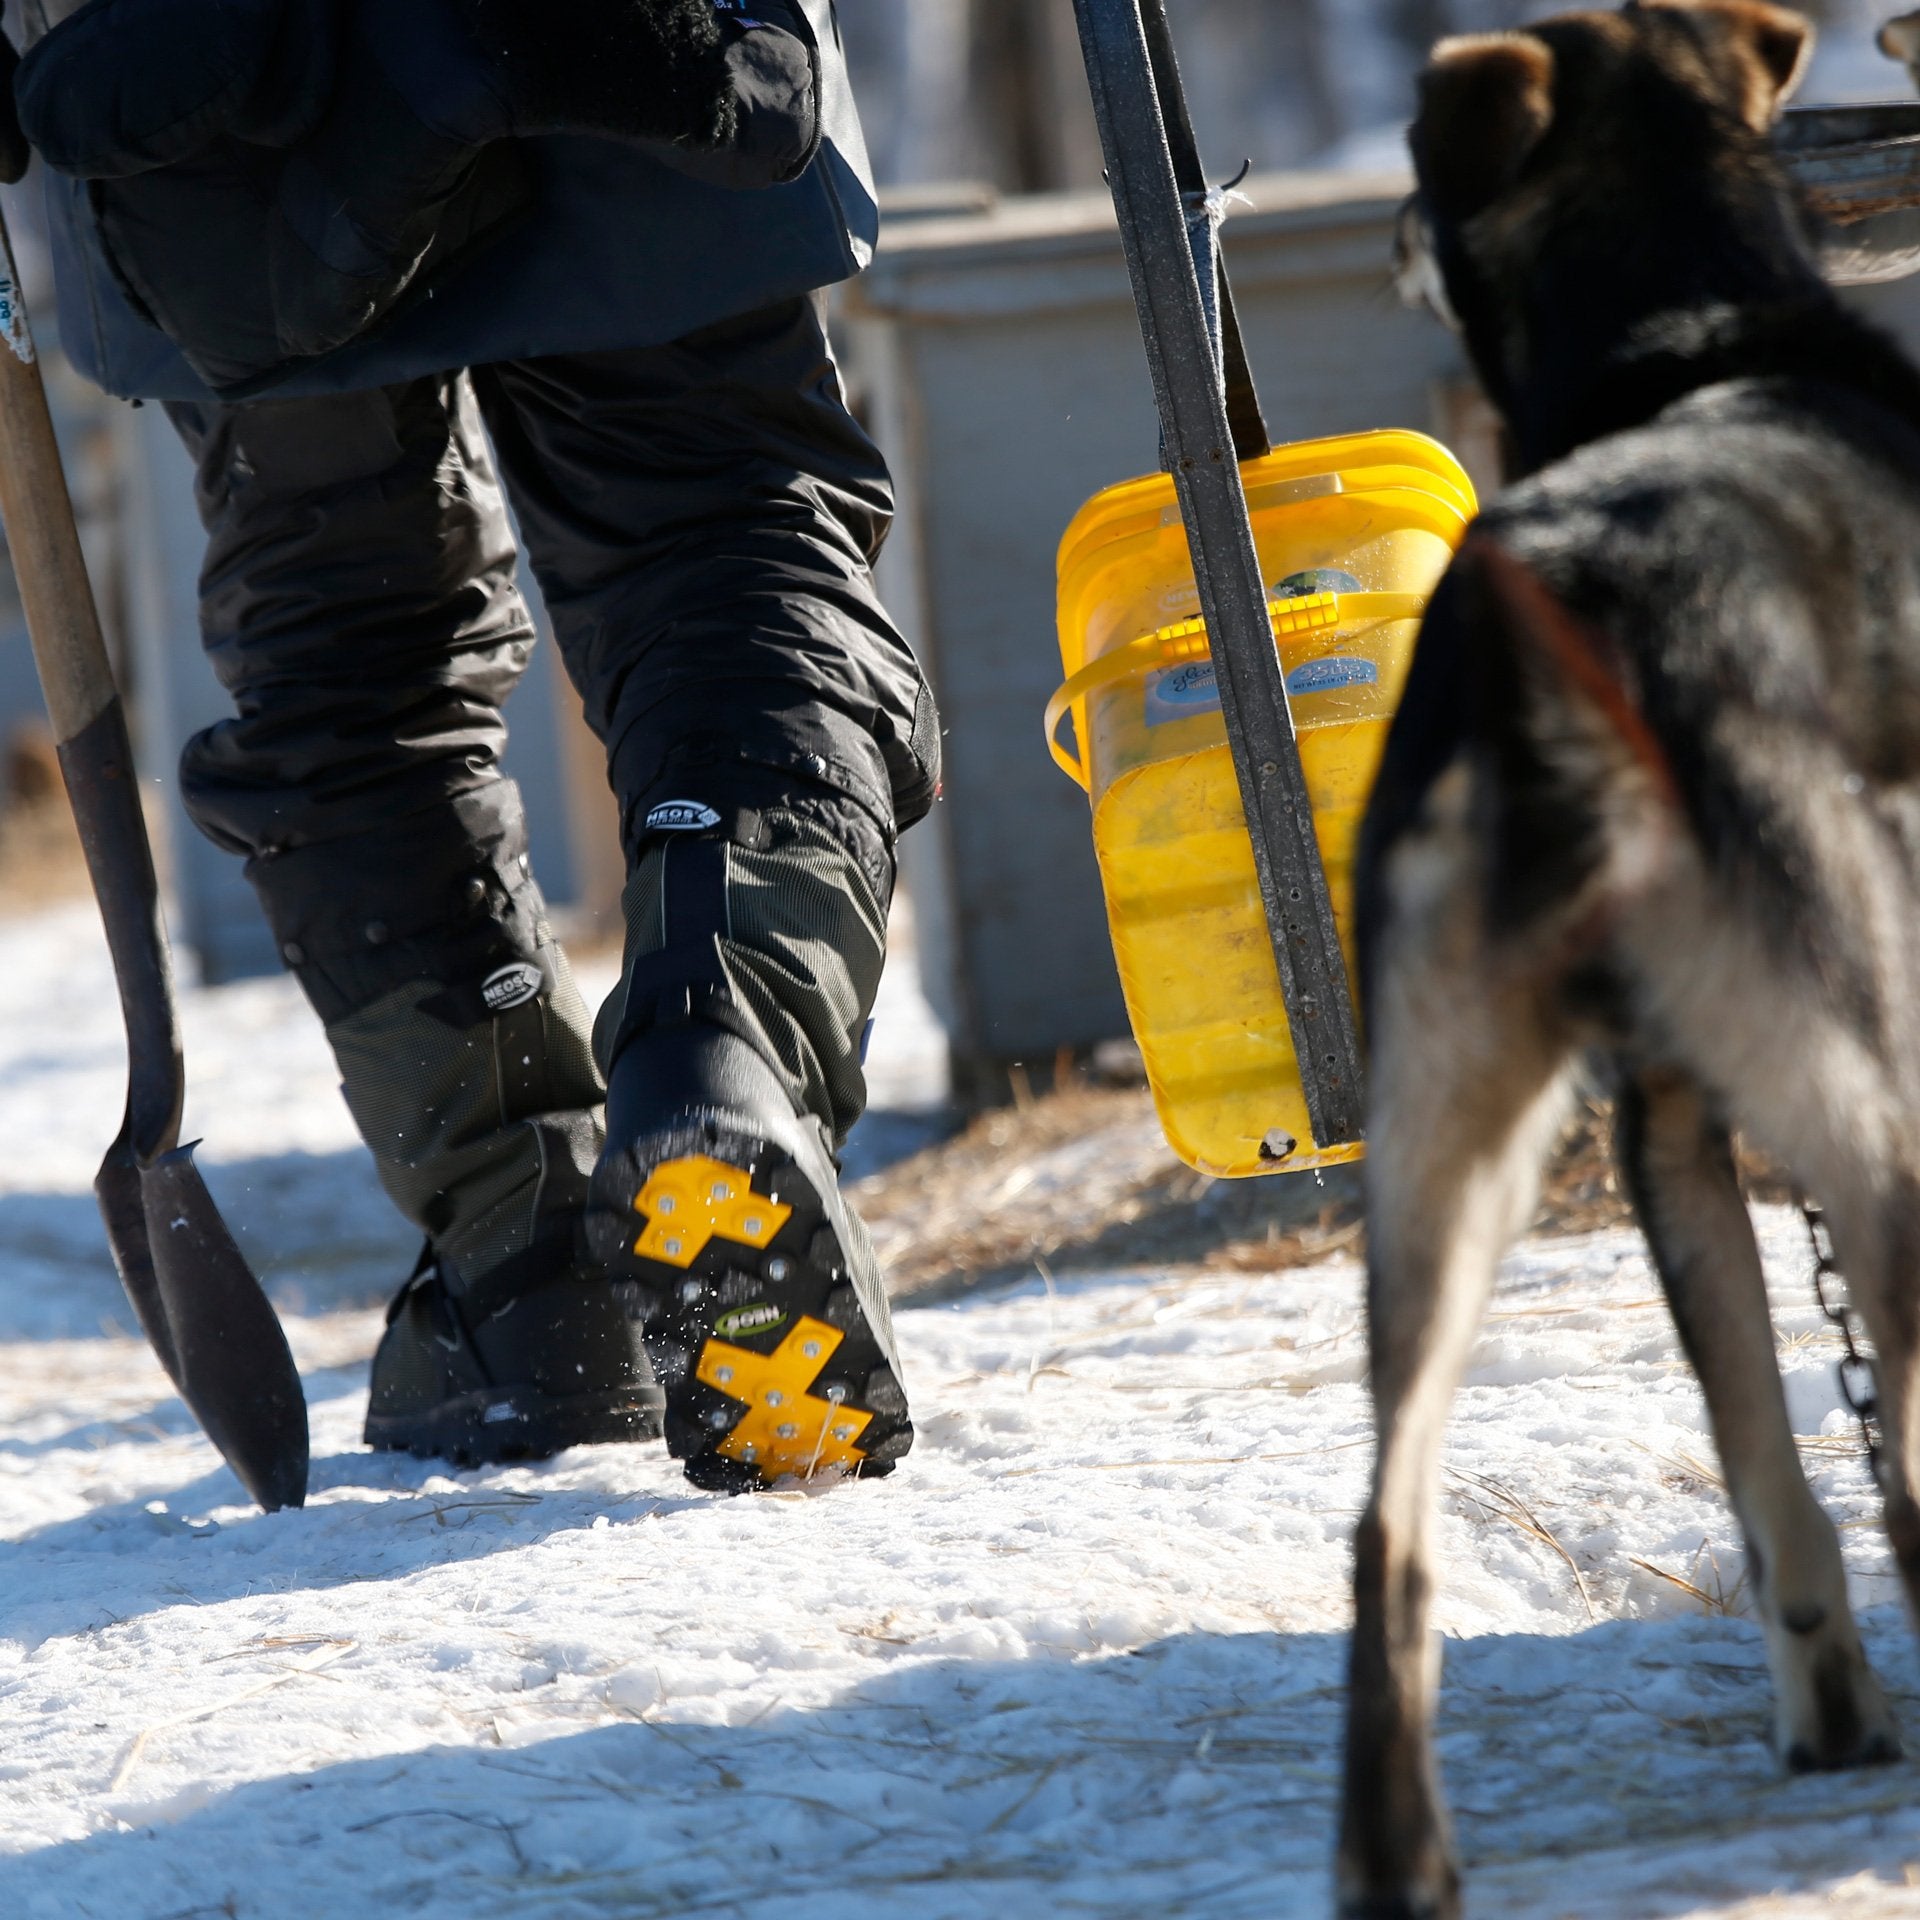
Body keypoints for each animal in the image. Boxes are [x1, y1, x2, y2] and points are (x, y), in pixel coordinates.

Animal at [1344, 3, 1920, 1920]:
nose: (1376, 229)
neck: (1679, 341)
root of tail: (1562, 609)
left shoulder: (1666, 1123)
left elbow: (1762, 1460)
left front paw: (1827, 1715)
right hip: (1864, 1093)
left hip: (1440, 1165)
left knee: (1386, 1536)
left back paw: (1403, 1868)